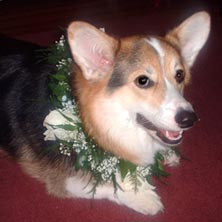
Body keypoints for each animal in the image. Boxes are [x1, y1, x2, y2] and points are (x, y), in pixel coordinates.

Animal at [0, 11, 210, 215]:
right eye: (143, 81)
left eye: (180, 75)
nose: (189, 119)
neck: (87, 114)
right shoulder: (64, 180)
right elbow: (105, 184)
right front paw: (143, 196)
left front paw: (167, 153)